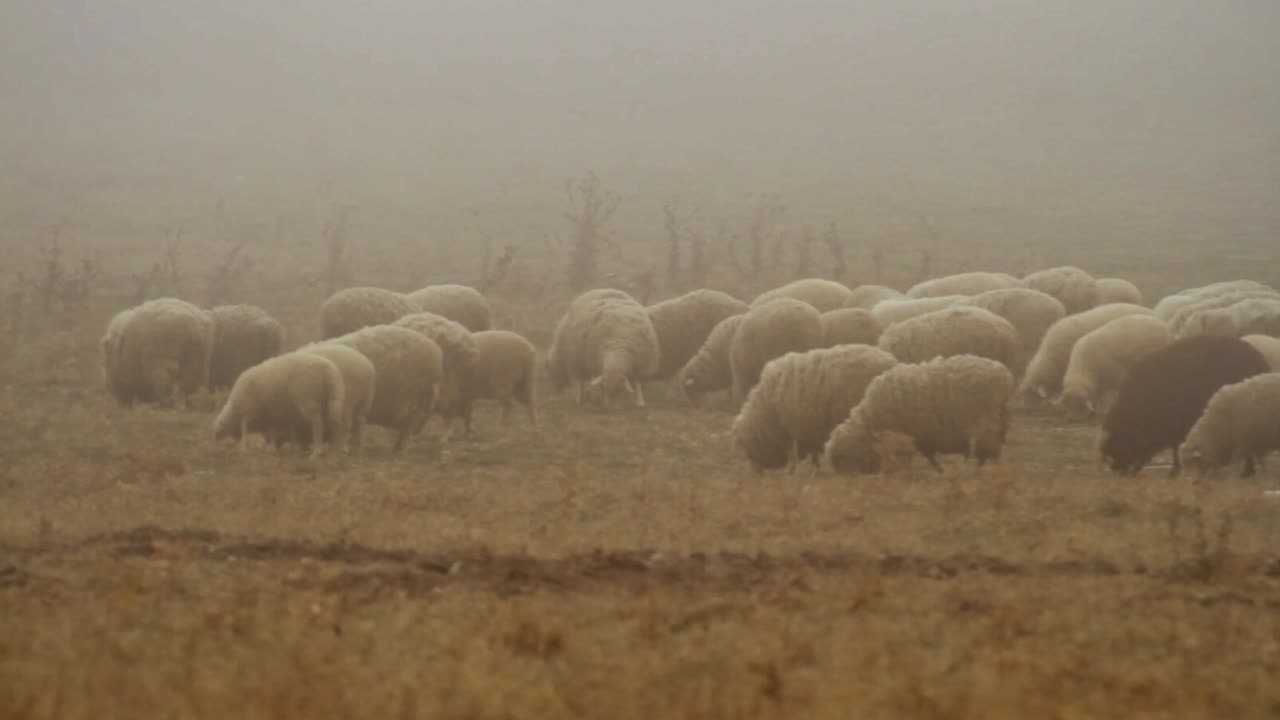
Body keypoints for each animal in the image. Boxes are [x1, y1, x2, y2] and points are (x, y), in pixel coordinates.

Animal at [212, 352, 345, 459]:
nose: (215, 437)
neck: (234, 409)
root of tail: (328, 370)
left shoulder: (250, 409)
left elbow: (244, 426)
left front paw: (243, 448)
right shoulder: (275, 415)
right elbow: (279, 431)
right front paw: (281, 448)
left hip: (308, 398)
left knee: (317, 423)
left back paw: (317, 451)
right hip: (332, 398)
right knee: (336, 422)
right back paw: (336, 451)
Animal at [731, 345, 897, 472]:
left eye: (747, 450)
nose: (755, 474)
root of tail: (890, 361)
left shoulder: (793, 427)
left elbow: (795, 453)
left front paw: (796, 470)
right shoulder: (808, 429)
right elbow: (811, 451)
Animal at [825, 355, 1015, 474]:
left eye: (844, 458)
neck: (871, 419)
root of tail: (1004, 375)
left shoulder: (900, 439)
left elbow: (904, 461)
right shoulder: (922, 439)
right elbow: (930, 457)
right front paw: (940, 471)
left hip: (986, 428)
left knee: (988, 455)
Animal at [1098, 335, 1269, 475]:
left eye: (1120, 441)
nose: (1119, 470)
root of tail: (1260, 359)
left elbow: (1176, 447)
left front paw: (1175, 470)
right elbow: (1175, 446)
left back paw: (1248, 471)